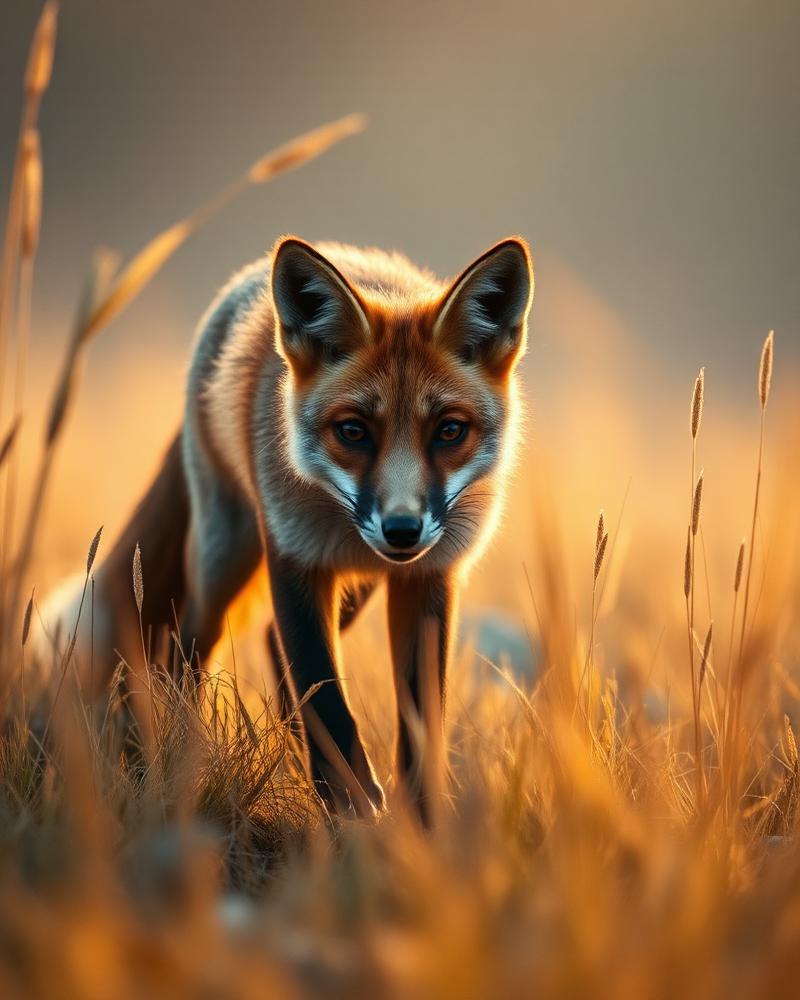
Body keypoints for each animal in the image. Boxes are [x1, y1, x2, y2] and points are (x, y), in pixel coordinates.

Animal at [40, 235, 534, 820]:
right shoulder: (294, 557)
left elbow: (421, 717)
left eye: (449, 430)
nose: (402, 530)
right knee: (183, 652)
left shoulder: (429, 575)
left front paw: (423, 819)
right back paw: (171, 757)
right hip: (223, 555)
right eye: (353, 431)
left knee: (272, 646)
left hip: (356, 587)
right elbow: (324, 693)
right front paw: (352, 809)